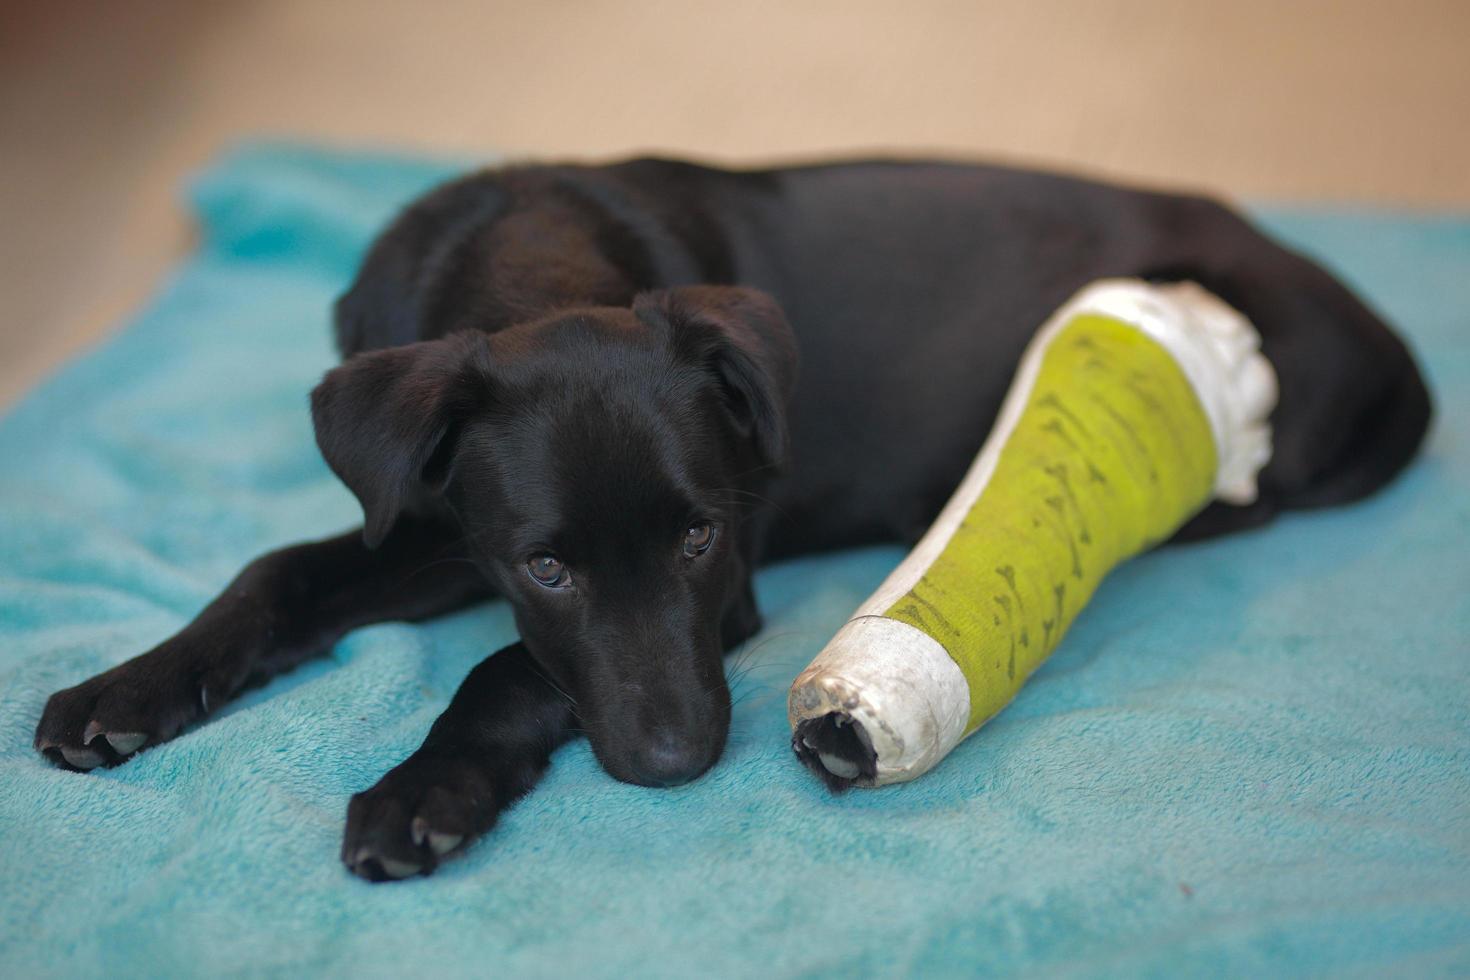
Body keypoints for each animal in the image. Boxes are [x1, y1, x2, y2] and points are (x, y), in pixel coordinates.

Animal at [34, 159, 1428, 881]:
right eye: (547, 562)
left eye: (699, 538)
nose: (677, 761)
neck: (536, 270)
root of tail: (1382, 338)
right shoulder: (429, 514)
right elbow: (277, 573)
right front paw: (126, 690)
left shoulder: (727, 586)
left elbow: (507, 669)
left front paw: (425, 792)